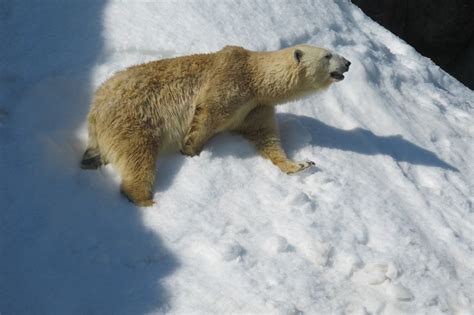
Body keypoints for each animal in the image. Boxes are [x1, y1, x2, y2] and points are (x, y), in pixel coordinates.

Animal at [80, 45, 348, 207]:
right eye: (328, 55)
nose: (348, 63)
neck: (257, 79)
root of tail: (95, 107)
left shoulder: (255, 108)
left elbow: (267, 138)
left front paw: (300, 164)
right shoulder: (230, 80)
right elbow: (209, 112)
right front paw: (190, 149)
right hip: (132, 117)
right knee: (138, 155)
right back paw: (146, 199)